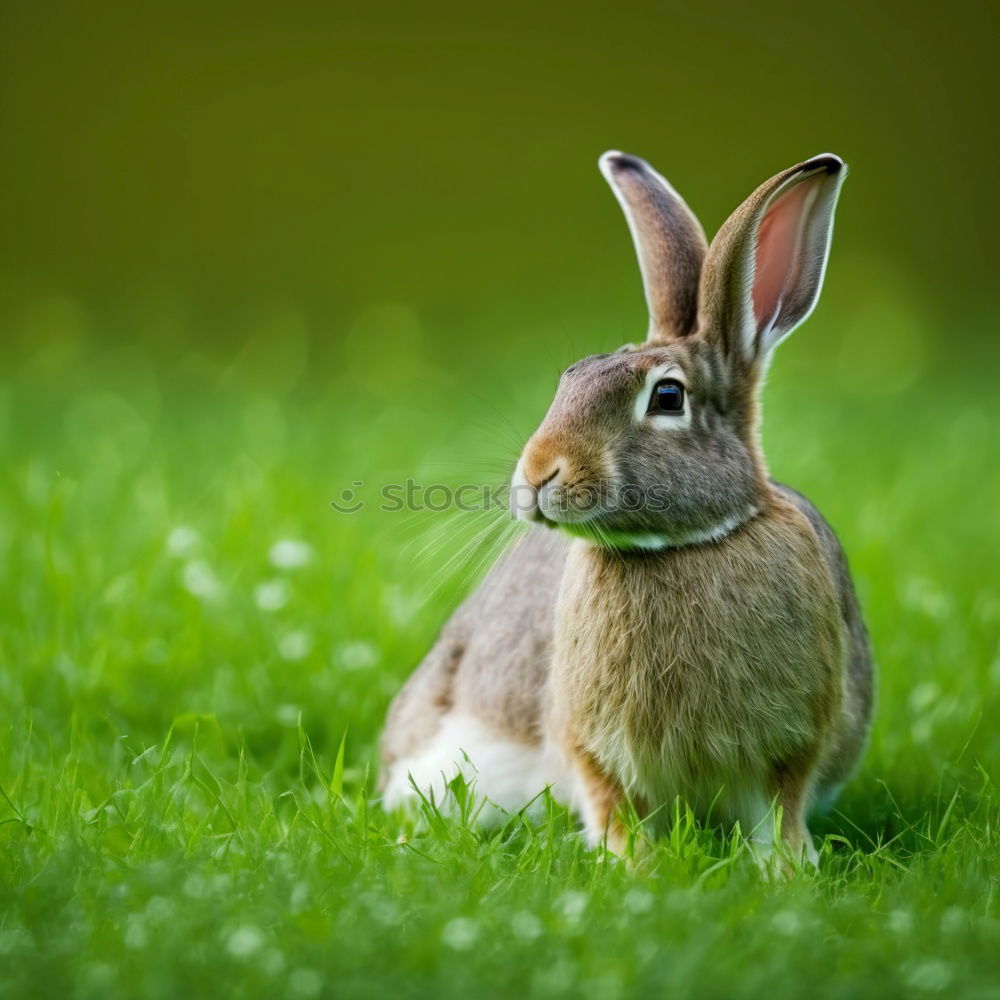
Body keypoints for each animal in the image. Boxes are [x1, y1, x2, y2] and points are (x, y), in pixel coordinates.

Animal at [378, 148, 872, 868]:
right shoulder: (592, 746)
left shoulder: (793, 745)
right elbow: (612, 803)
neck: (684, 544)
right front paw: (629, 866)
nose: (538, 474)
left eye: (668, 397)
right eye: (570, 378)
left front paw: (785, 872)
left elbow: (779, 811)